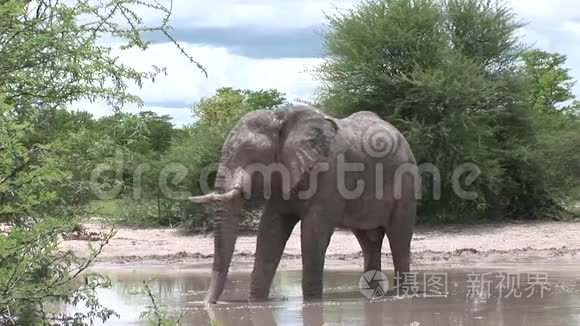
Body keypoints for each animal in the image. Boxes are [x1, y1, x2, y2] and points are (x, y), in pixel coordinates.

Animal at [190, 106, 416, 304]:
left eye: (249, 151)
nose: (208, 304)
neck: (281, 116)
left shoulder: (331, 174)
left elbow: (313, 232)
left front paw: (312, 303)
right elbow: (270, 230)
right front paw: (256, 303)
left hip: (406, 182)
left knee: (399, 237)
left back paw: (404, 296)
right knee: (369, 241)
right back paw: (373, 296)